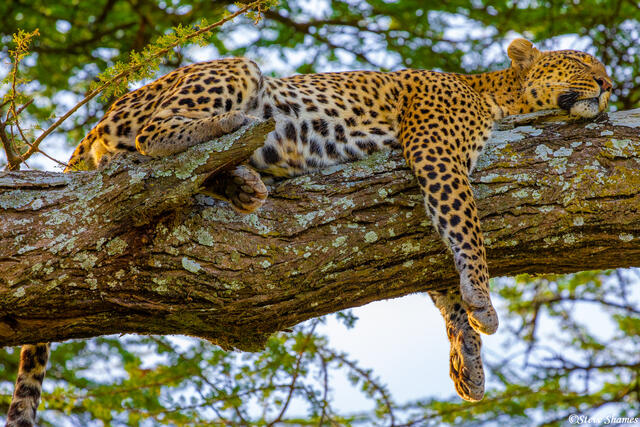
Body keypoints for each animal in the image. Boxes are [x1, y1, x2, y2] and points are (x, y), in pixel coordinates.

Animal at [7, 38, 611, 427]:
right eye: (580, 62)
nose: (609, 85)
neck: (498, 95)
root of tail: (102, 117)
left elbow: (441, 277)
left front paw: (468, 360)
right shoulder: (438, 152)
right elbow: (467, 229)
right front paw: (483, 302)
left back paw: (244, 183)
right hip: (232, 70)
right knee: (156, 135)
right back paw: (236, 127)